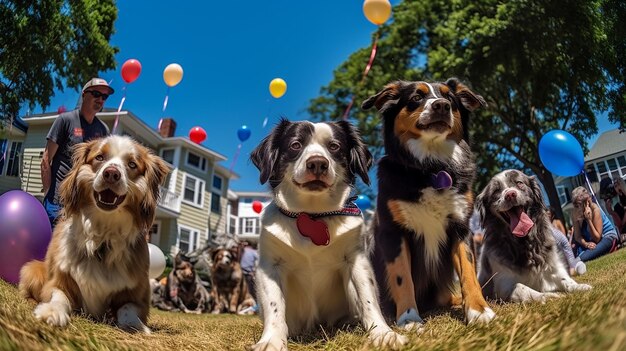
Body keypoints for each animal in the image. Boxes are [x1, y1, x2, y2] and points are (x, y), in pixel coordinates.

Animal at [20, 136, 169, 334]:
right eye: (99, 157)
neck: (103, 233)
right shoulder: (57, 279)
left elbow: (127, 308)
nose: (111, 173)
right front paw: (51, 311)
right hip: (33, 268)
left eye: (132, 164)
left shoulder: (140, 295)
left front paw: (134, 325)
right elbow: (59, 296)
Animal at [249, 119, 404, 350]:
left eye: (334, 146)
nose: (317, 163)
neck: (312, 214)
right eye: (295, 145)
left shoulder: (357, 261)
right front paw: (272, 340)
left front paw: (382, 334)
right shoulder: (269, 266)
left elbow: (368, 300)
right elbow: (274, 306)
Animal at [360, 78, 492, 332]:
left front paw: (479, 310)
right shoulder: (393, 233)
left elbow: (469, 272)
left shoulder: (461, 228)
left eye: (450, 98)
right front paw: (409, 318)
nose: (441, 106)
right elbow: (402, 278)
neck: (431, 168)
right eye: (416, 98)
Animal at [472, 170, 588, 302]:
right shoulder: (503, 285)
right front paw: (546, 296)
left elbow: (566, 280)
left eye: (519, 183)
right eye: (496, 191)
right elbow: (521, 287)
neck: (524, 243)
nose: (510, 194)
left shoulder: (554, 269)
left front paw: (580, 286)